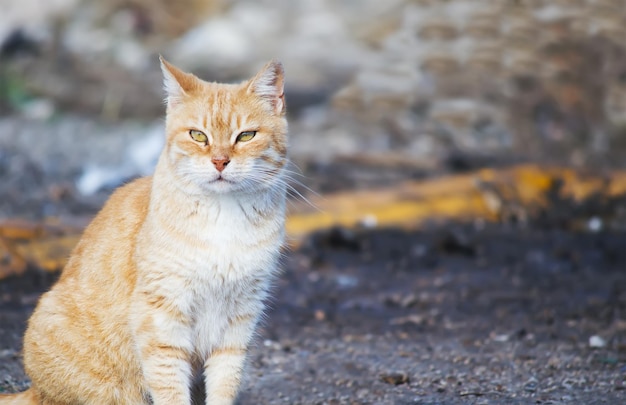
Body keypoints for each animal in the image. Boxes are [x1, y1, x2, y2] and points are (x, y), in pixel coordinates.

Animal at [0, 56, 288, 404]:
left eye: (246, 136)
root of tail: (34, 389)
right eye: (198, 135)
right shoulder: (162, 317)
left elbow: (224, 383)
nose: (220, 161)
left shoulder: (239, 319)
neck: (224, 217)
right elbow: (170, 389)